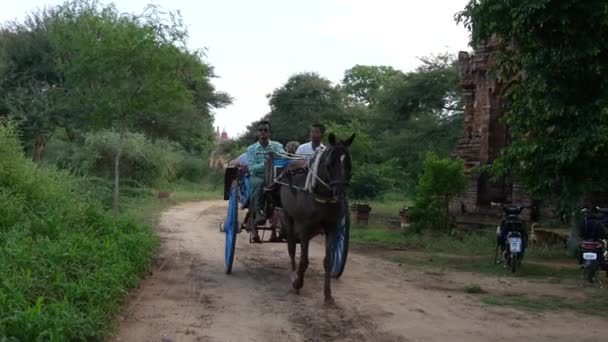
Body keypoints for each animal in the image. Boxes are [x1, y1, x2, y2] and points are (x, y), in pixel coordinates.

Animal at [278, 132, 354, 304]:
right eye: (330, 163)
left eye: (348, 163)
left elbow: (328, 261)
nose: (340, 192)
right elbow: (304, 260)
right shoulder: (305, 227)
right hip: (287, 216)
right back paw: (293, 274)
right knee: (291, 247)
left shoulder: (332, 227)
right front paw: (298, 283)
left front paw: (328, 294)